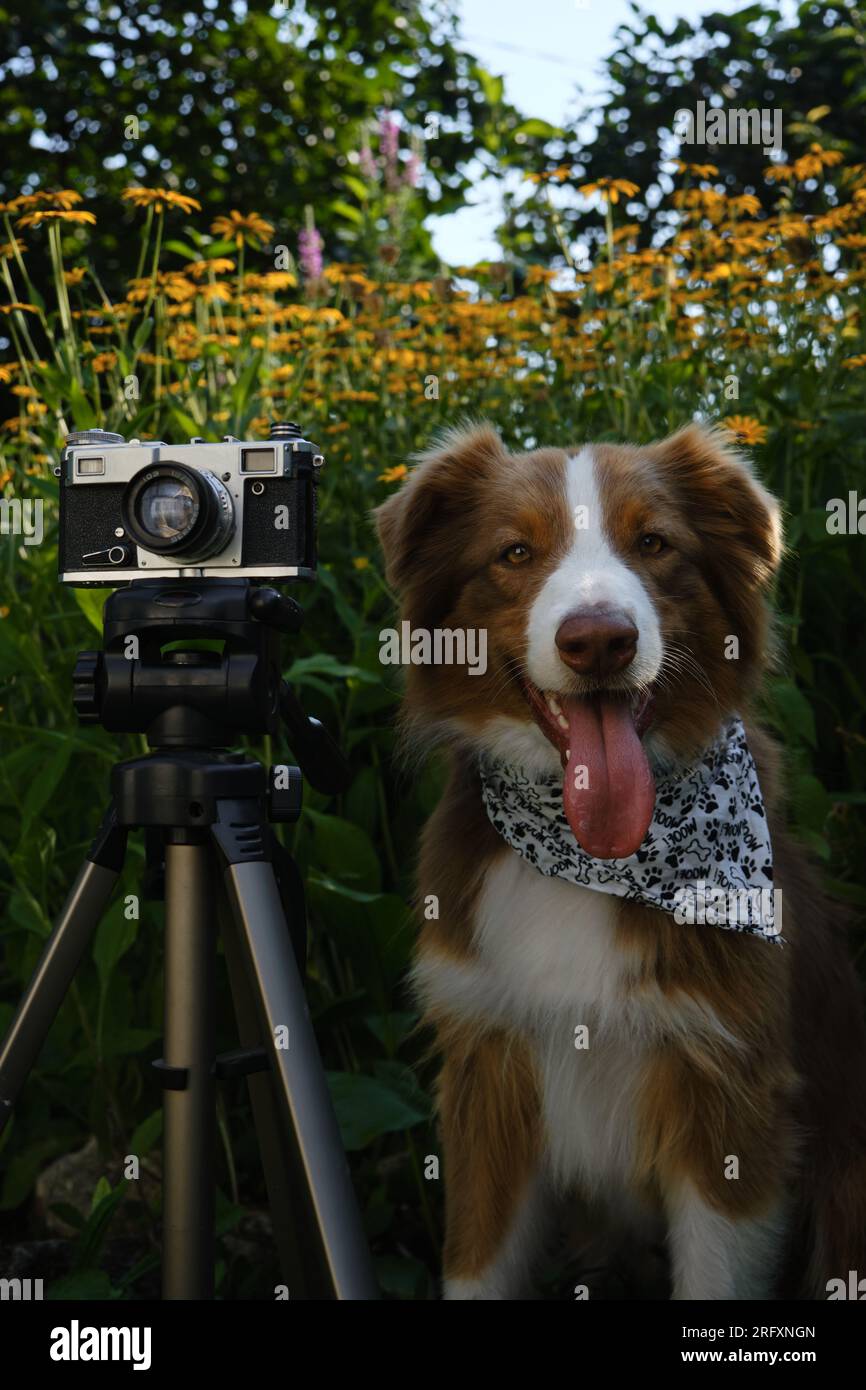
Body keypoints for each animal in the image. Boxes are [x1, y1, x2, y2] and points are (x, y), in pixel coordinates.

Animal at [375, 422, 866, 1301]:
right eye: (514, 552)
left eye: (654, 543)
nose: (599, 640)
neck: (585, 856)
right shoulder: (487, 1070)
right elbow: (477, 1263)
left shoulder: (729, 1095)